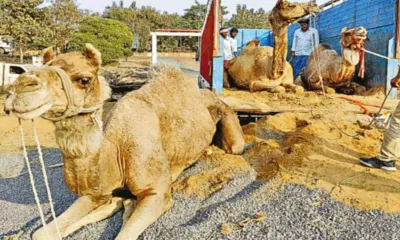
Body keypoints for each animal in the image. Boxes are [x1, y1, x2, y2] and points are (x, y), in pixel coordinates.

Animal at [4, 44, 245, 239]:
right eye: (46, 67)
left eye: (84, 79)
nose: (20, 87)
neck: (117, 150)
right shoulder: (96, 191)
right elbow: (40, 233)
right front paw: (117, 203)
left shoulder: (157, 192)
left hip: (226, 119)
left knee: (235, 146)